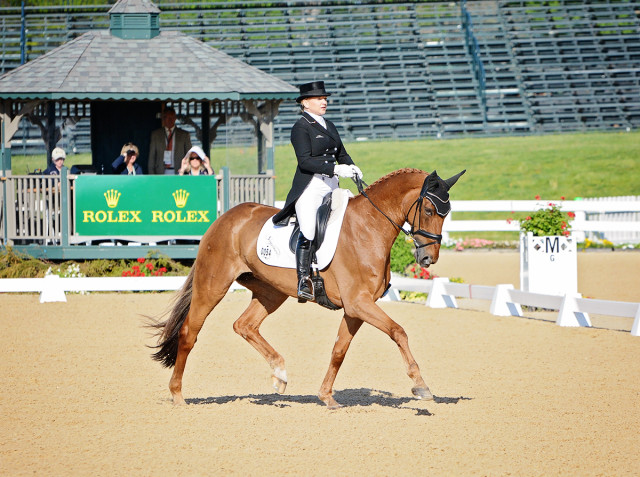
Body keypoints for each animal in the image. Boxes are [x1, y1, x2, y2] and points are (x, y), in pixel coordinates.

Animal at [153, 168, 468, 410]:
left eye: (447, 213)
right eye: (428, 209)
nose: (428, 259)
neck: (369, 227)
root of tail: (224, 218)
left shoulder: (356, 308)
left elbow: (339, 350)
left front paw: (326, 397)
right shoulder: (359, 303)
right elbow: (398, 331)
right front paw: (421, 386)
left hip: (271, 292)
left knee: (244, 325)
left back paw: (279, 374)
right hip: (213, 285)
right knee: (189, 332)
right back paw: (178, 395)